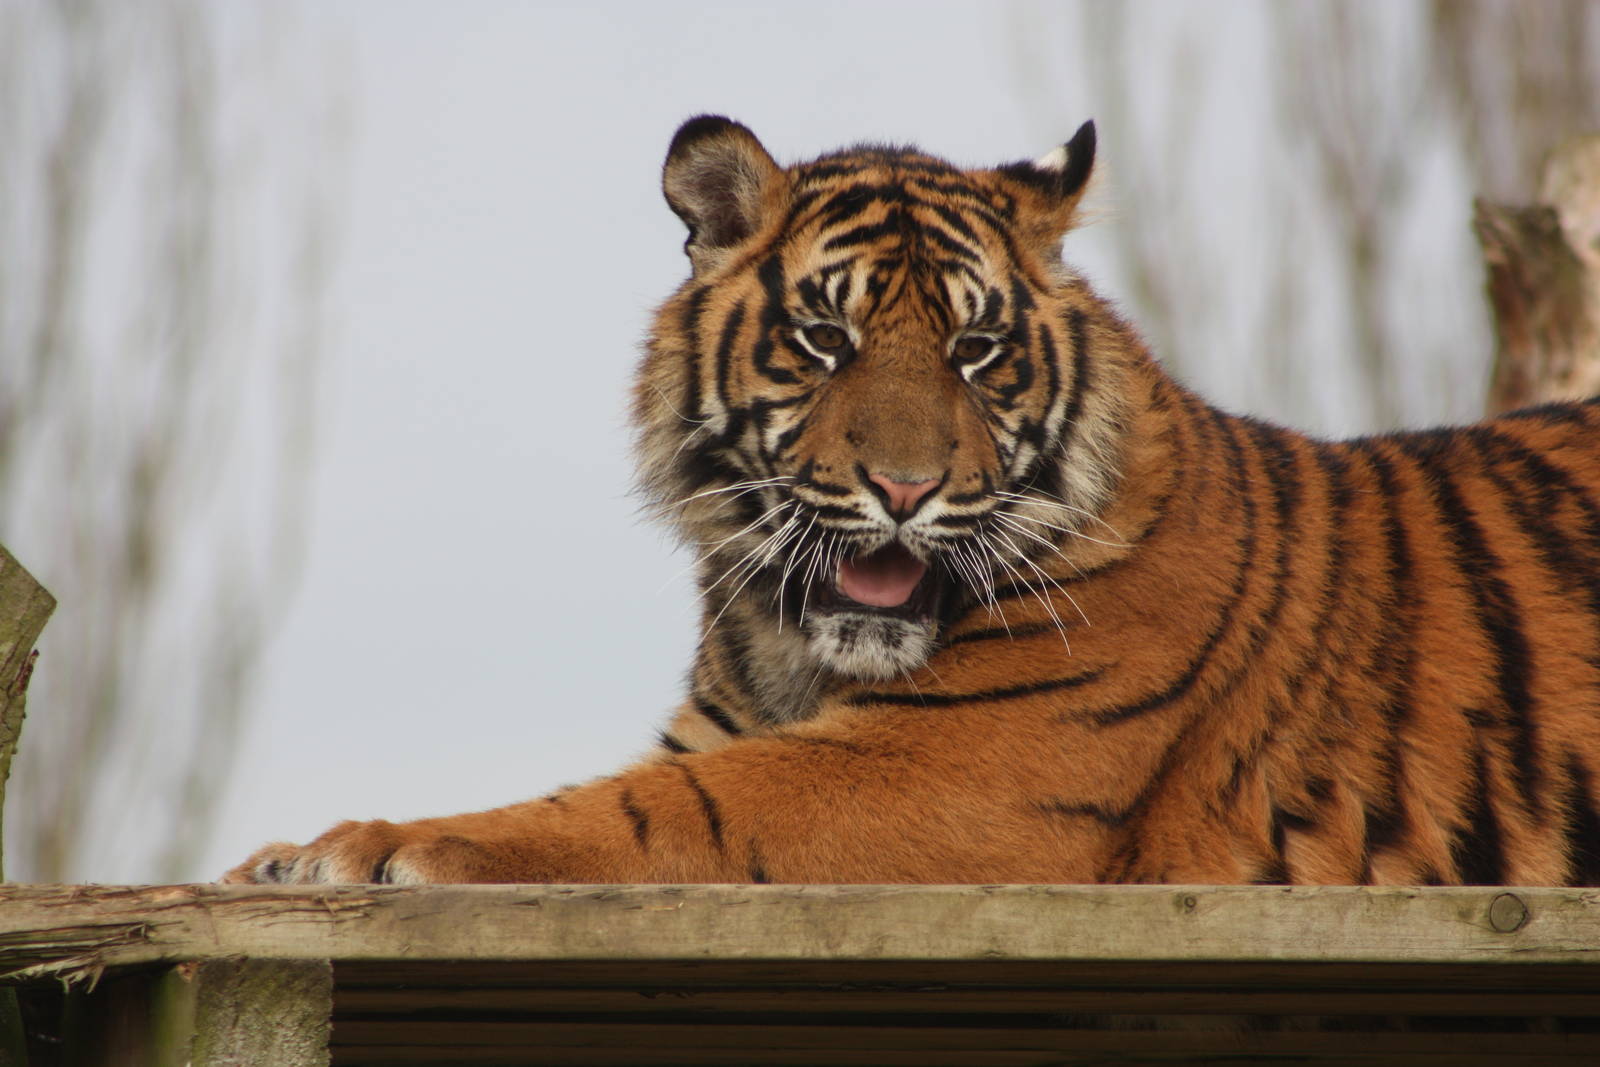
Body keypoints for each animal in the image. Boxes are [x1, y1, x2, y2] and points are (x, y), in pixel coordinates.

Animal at [225, 116, 1600, 888]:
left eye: (977, 351)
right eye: (823, 340)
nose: (904, 488)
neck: (794, 641)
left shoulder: (949, 767)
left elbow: (635, 814)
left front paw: (361, 845)